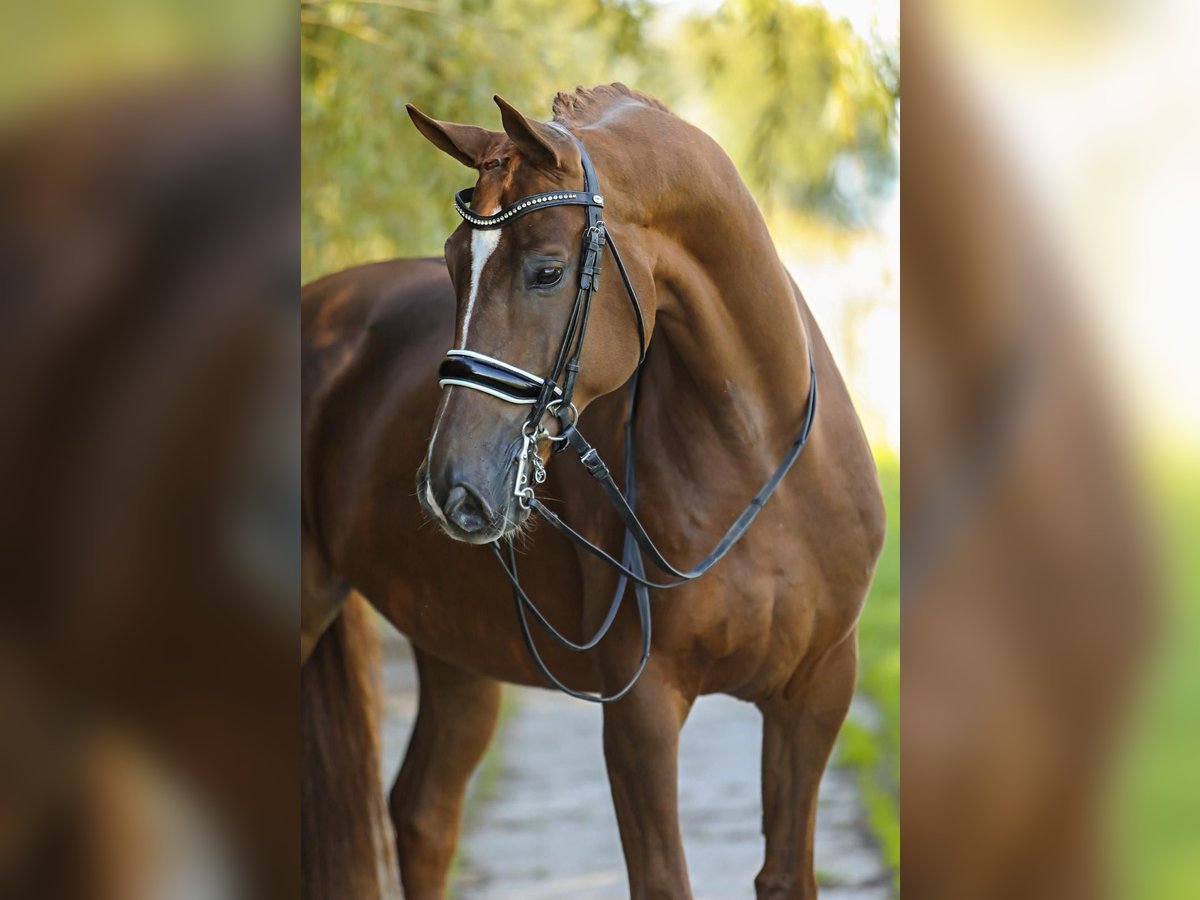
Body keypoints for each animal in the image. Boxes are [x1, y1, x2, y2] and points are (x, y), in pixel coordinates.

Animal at [300, 86, 883, 900]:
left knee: (423, 815)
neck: (755, 451)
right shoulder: (641, 709)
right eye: (451, 263)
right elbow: (664, 879)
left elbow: (786, 874)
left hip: (454, 649)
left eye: (547, 272)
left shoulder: (818, 694)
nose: (452, 487)